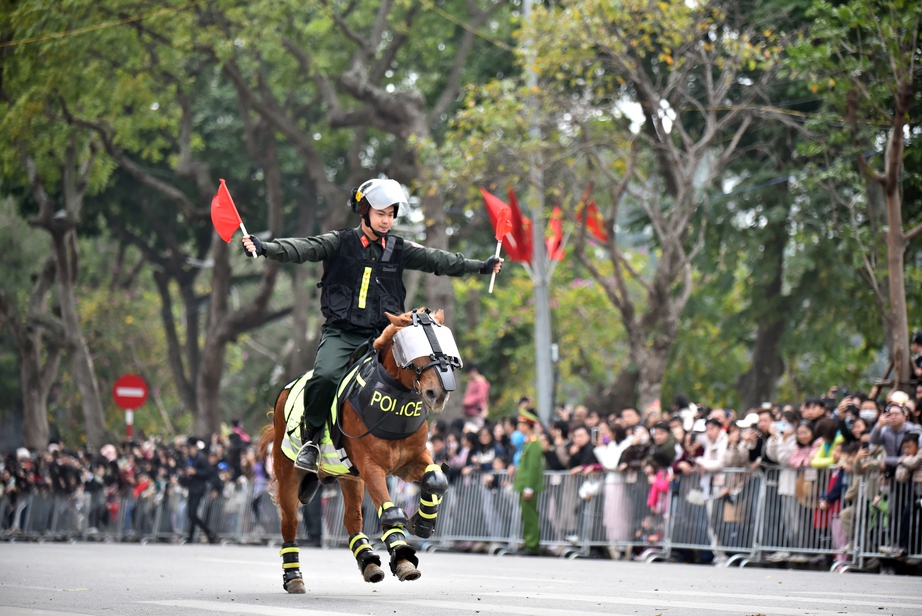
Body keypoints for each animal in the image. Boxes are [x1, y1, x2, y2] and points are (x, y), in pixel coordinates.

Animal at [256, 308, 458, 592]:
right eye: (410, 345)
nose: (437, 392)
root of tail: (287, 389)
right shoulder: (371, 465)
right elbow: (390, 510)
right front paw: (403, 556)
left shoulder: (410, 461)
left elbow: (436, 477)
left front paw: (423, 522)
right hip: (288, 473)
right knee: (290, 522)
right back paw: (294, 576)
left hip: (349, 477)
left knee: (351, 519)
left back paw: (368, 561)